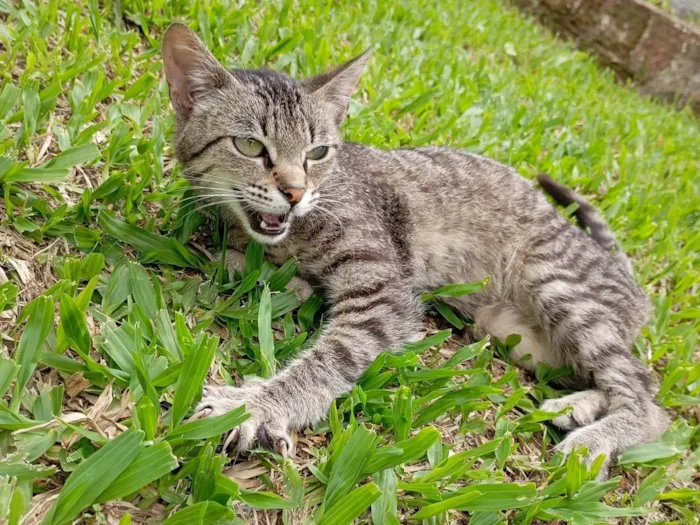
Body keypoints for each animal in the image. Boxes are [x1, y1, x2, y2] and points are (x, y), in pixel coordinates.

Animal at [161, 23, 668, 474]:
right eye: (250, 146)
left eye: (318, 153)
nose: (294, 192)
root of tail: (629, 281)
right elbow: (255, 262)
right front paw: (269, 274)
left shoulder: (387, 291)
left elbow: (332, 357)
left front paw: (257, 406)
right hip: (521, 339)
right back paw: (578, 406)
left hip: (557, 284)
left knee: (650, 397)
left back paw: (593, 442)